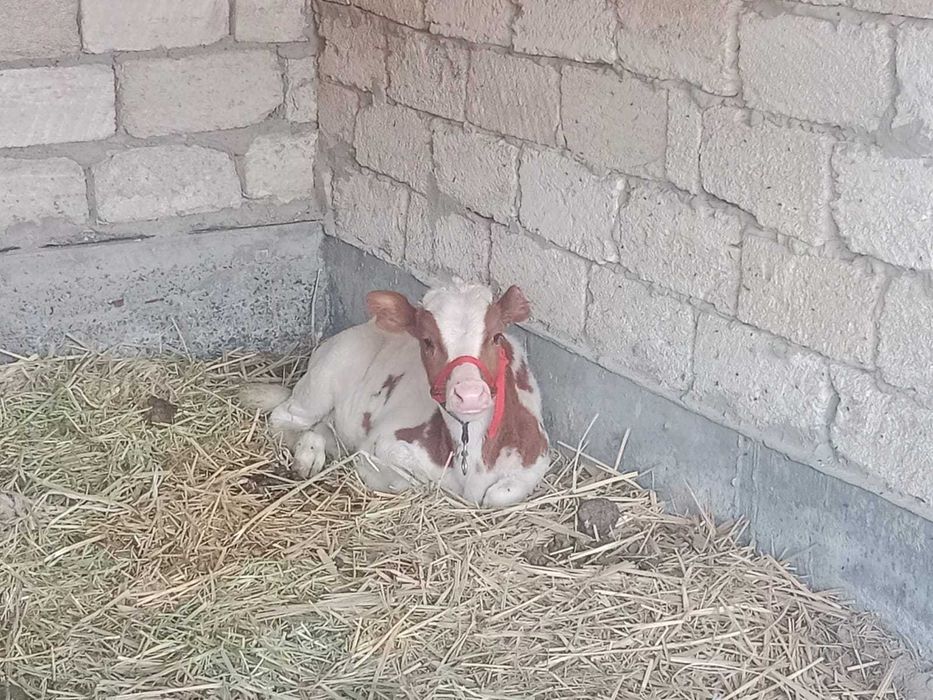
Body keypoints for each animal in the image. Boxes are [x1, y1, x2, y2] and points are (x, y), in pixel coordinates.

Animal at [241, 281, 551, 507]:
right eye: (427, 341)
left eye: (496, 336)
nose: (470, 394)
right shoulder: (381, 445)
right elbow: (406, 480)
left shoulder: (537, 459)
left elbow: (499, 494)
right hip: (323, 379)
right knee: (285, 419)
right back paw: (306, 455)